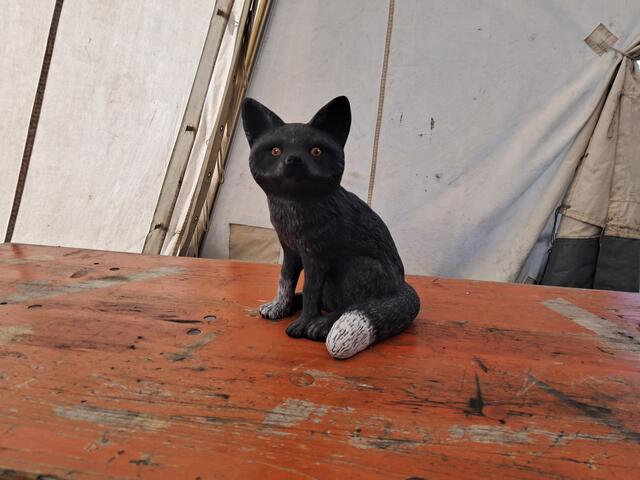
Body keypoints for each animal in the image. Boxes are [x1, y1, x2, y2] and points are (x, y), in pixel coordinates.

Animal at [241, 95, 420, 359]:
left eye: (315, 151)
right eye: (276, 150)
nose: (293, 160)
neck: (293, 208)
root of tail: (401, 286)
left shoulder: (317, 257)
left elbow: (310, 292)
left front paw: (302, 326)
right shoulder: (291, 251)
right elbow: (285, 282)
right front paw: (279, 307)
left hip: (357, 265)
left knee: (349, 305)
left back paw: (323, 324)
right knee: (327, 302)